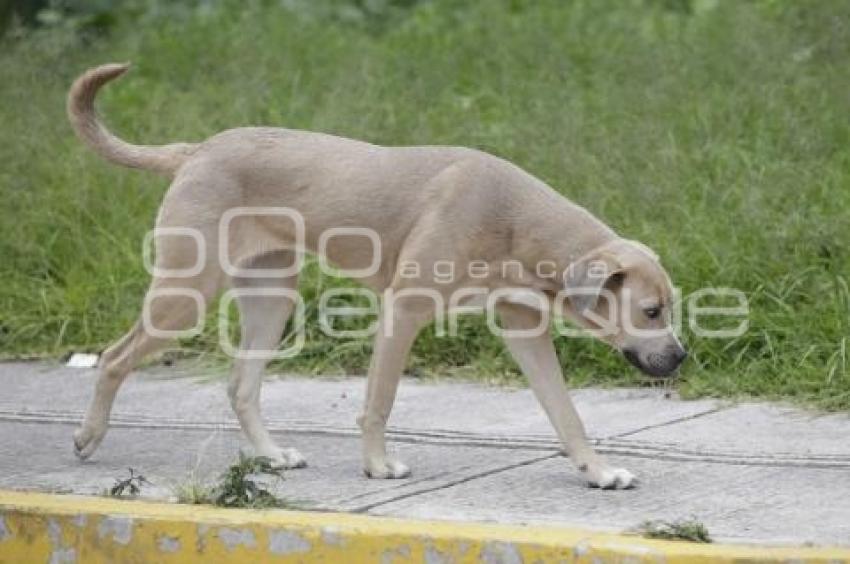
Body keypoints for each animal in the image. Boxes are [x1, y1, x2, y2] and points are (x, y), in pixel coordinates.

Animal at [69, 62, 684, 490]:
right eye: (650, 311)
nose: (680, 358)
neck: (514, 222)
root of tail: (197, 150)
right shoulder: (403, 313)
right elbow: (379, 402)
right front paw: (377, 466)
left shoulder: (524, 329)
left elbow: (566, 412)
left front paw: (598, 472)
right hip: (186, 294)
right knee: (114, 358)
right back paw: (88, 437)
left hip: (270, 299)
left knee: (240, 386)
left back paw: (271, 456)